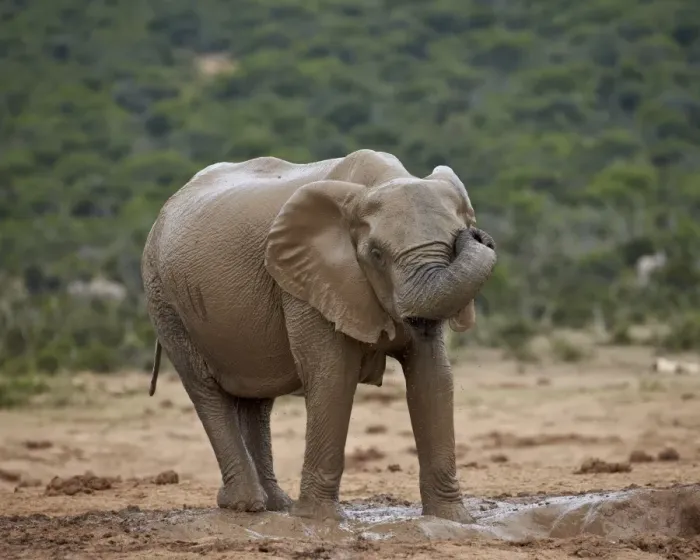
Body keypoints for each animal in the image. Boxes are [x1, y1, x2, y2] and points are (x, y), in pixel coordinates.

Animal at [141, 148, 497, 523]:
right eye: (376, 254)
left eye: (454, 240)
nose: (477, 235)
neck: (378, 183)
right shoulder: (306, 282)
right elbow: (333, 376)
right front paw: (319, 520)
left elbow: (432, 377)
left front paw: (452, 520)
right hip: (165, 298)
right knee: (206, 390)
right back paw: (245, 506)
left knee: (257, 400)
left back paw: (276, 505)